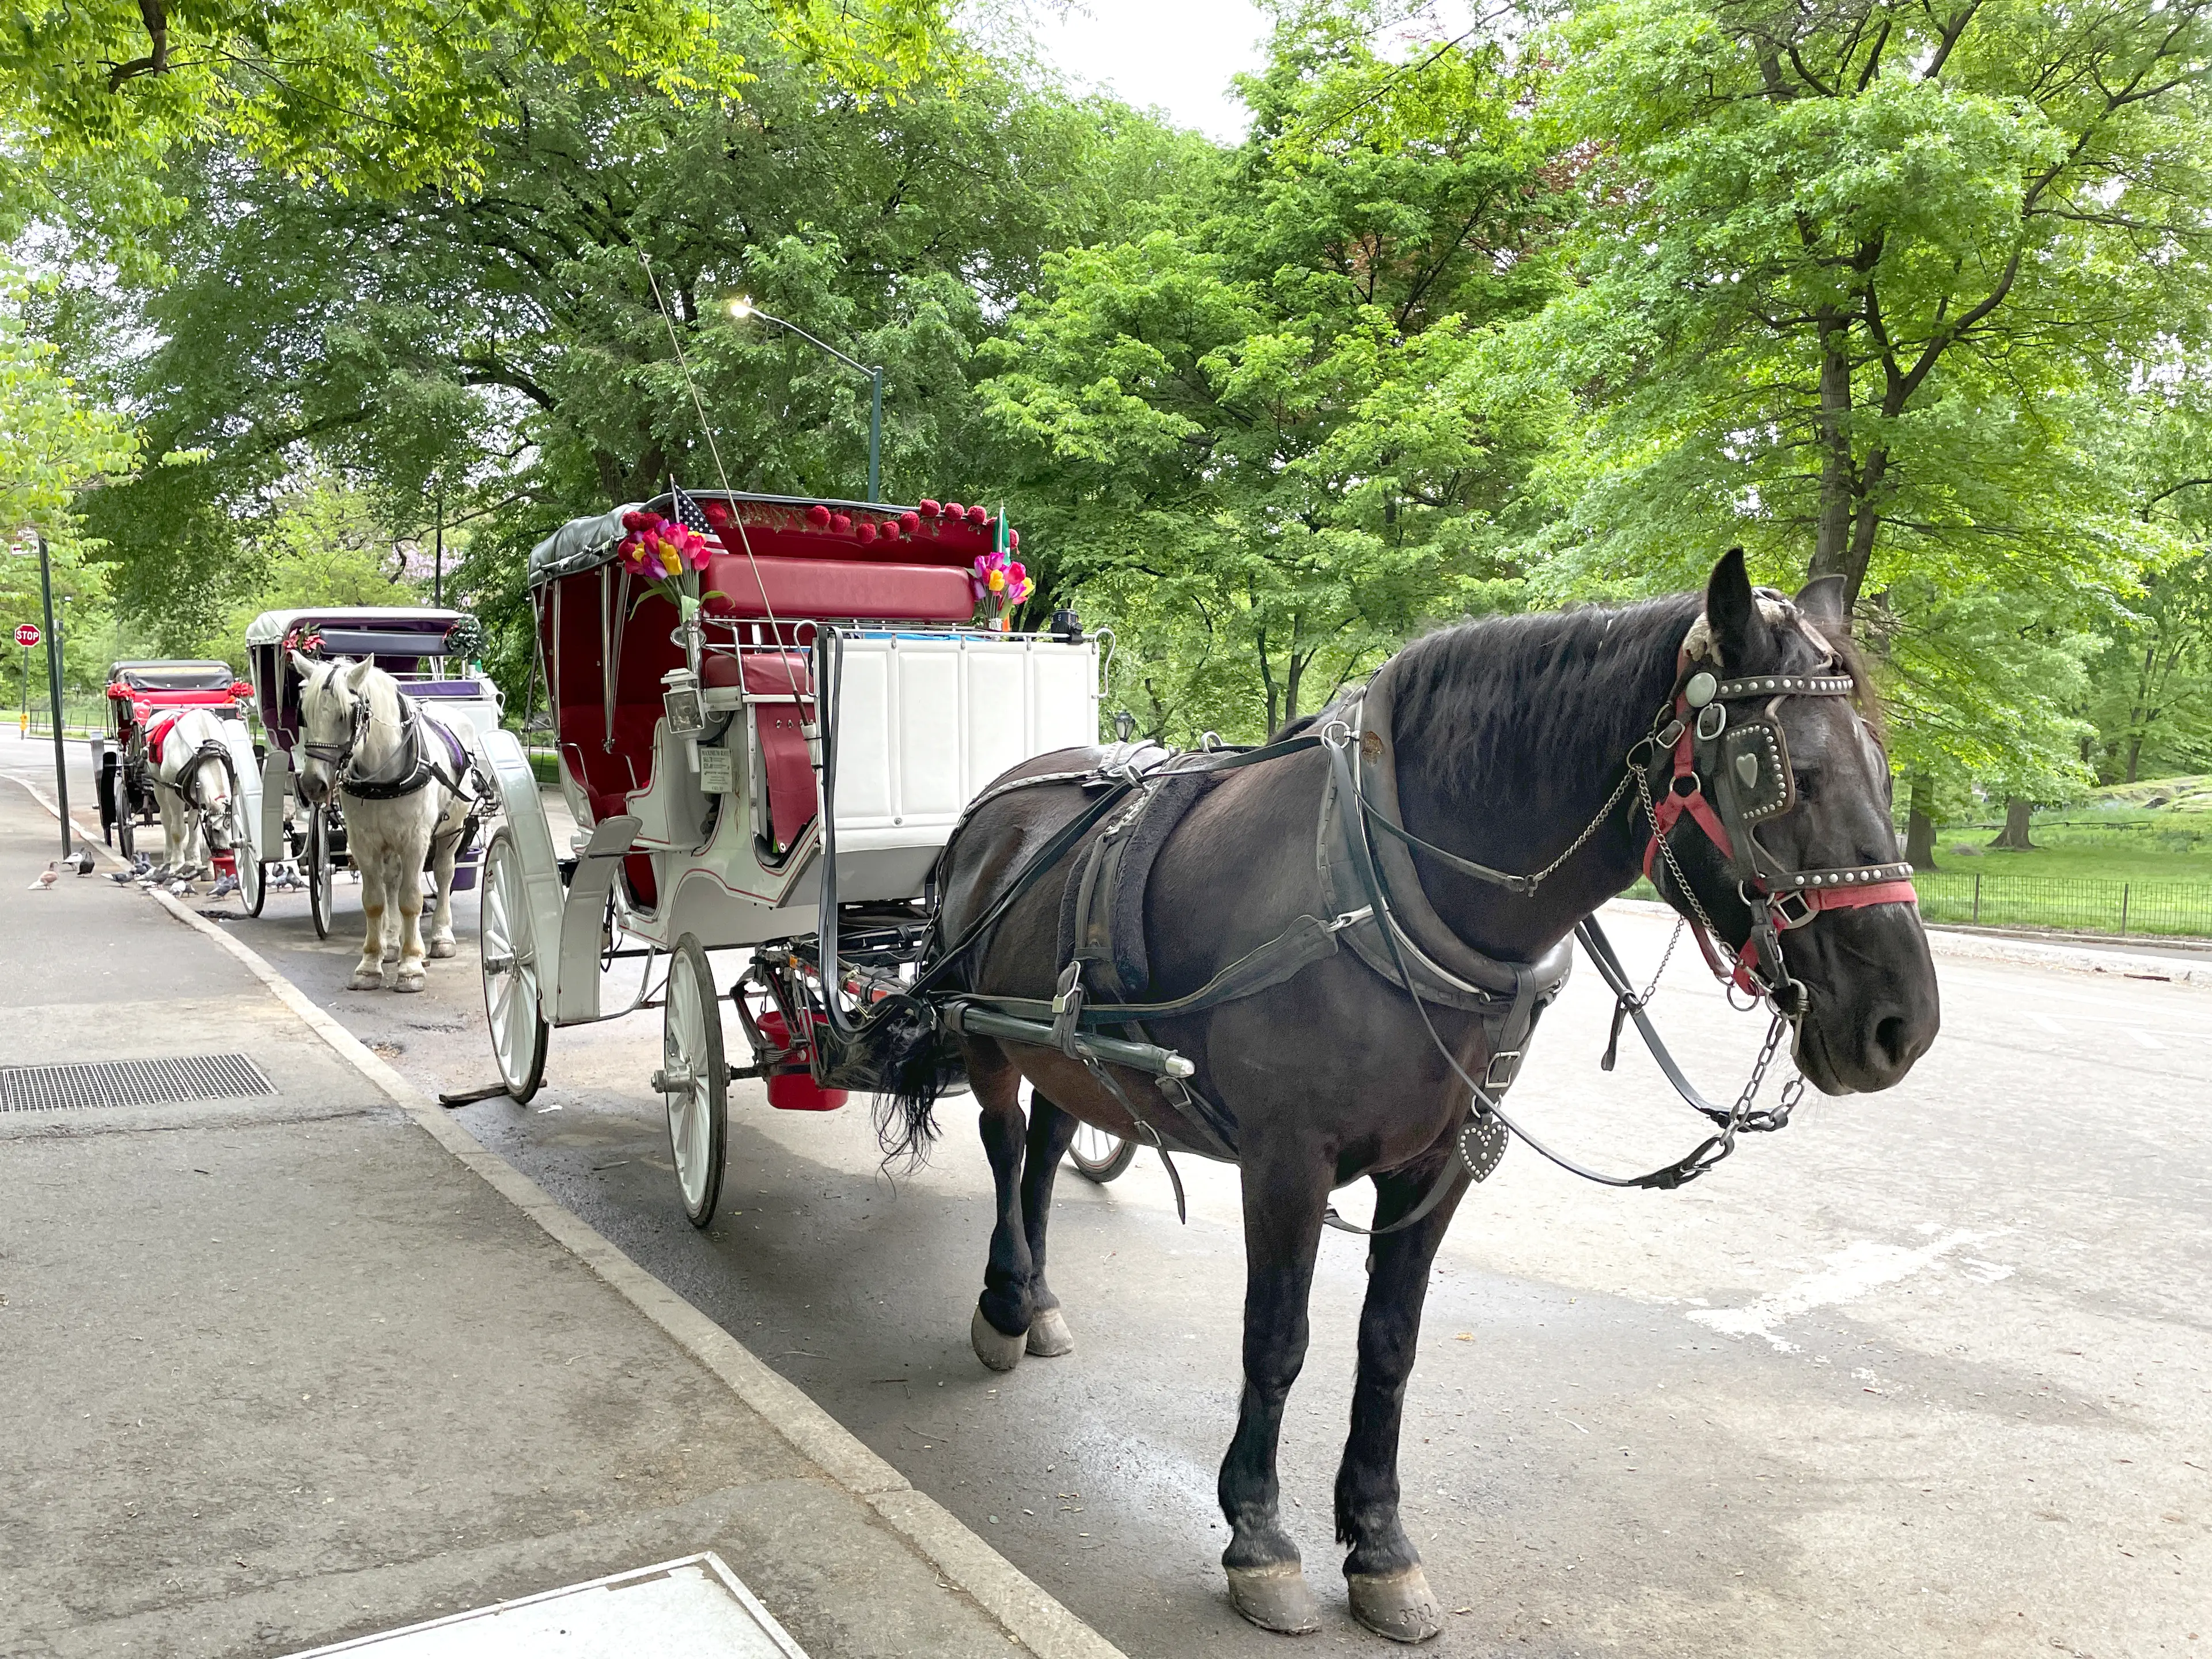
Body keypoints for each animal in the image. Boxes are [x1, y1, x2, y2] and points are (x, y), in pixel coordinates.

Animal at [144, 705, 245, 878]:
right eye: (216, 830)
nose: (229, 857)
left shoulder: (201, 797)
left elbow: (196, 827)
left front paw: (200, 863)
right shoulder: (173, 794)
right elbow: (178, 830)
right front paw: (177, 864)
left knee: (192, 823)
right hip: (159, 786)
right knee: (167, 820)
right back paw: (168, 858)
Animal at [291, 654, 473, 993]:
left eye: (347, 714)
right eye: (304, 715)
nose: (312, 785)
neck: (381, 776)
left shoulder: (416, 840)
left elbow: (412, 901)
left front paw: (412, 965)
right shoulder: (364, 842)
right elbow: (375, 901)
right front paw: (371, 963)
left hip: (452, 829)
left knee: (444, 874)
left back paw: (441, 937)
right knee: (392, 882)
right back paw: (391, 943)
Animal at [911, 551, 1941, 1641]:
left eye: (1883, 773)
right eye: (1777, 774)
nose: (1905, 1023)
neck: (1390, 885)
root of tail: (996, 801)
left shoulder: (1442, 1165)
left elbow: (1390, 1347)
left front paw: (1379, 1546)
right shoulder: (1286, 1162)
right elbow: (1277, 1339)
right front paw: (1260, 1540)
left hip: (1068, 1049)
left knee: (1050, 1148)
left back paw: (1040, 1299)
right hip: (981, 1030)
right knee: (1008, 1148)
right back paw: (1004, 1301)